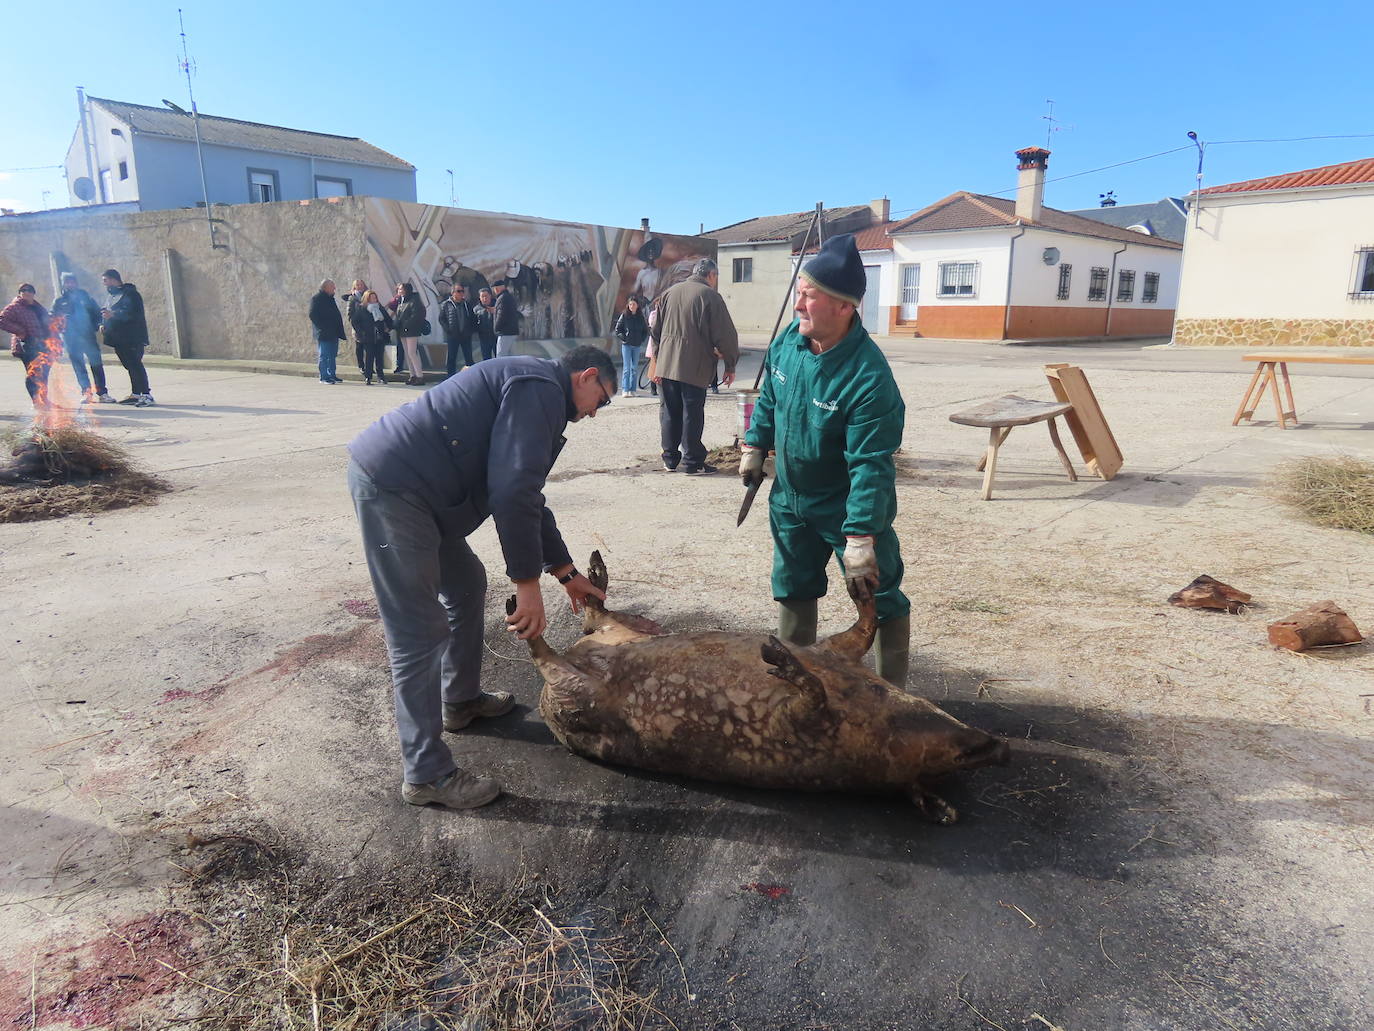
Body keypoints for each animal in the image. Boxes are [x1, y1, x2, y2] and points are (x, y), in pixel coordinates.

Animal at [516, 552, 1011, 830]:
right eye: (964, 755)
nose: (1000, 746)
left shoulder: (799, 726)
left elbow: (812, 686)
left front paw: (778, 657)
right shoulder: (833, 654)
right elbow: (863, 627)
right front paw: (859, 585)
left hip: (575, 698)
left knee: (553, 660)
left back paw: (528, 622)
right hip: (623, 636)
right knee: (593, 617)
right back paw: (587, 579)